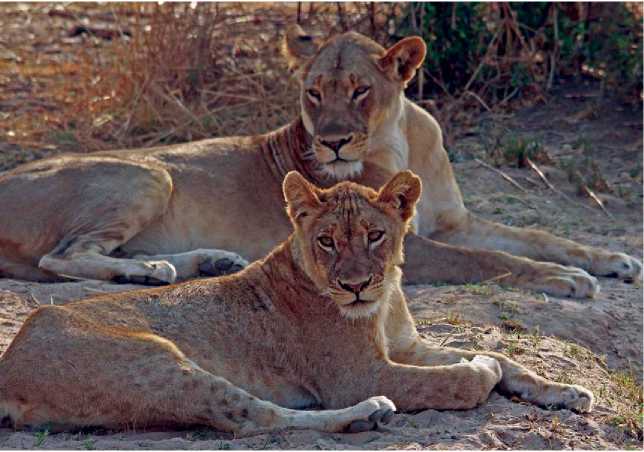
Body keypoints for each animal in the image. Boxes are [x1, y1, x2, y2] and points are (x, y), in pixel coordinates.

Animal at [0, 171, 592, 436]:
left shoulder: (406, 346)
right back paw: (366, 415)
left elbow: (512, 361)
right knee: (251, 417)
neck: (385, 301)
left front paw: (565, 391)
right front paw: (481, 368)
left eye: (375, 235)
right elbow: (457, 382)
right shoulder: (360, 373)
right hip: (156, 362)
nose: (355, 286)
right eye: (327, 240)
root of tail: (13, 356)